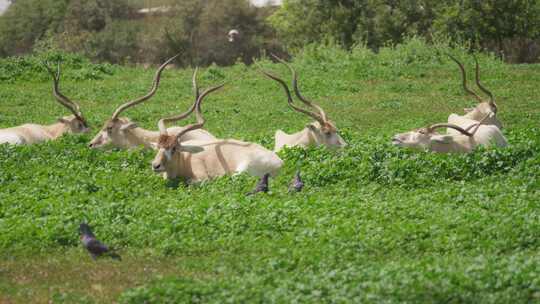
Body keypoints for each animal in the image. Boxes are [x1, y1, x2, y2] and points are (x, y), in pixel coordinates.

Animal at [149, 83, 280, 182]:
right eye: (158, 147)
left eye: (174, 148)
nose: (156, 165)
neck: (185, 157)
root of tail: (280, 162)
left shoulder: (201, 177)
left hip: (240, 171)